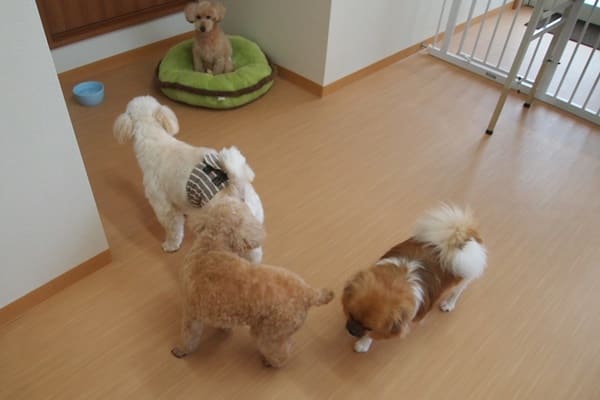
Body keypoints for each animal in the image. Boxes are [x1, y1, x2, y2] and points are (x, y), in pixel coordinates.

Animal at [171, 194, 334, 367]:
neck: (212, 246)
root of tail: (310, 293)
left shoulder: (191, 313)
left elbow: (189, 337)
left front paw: (181, 350)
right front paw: (224, 329)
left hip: (269, 333)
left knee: (282, 353)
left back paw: (269, 362)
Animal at [342, 204, 487, 353]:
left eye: (369, 328)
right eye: (350, 314)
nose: (351, 330)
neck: (396, 280)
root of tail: (464, 235)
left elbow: (373, 336)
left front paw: (363, 343)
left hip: (463, 277)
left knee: (457, 292)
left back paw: (448, 304)